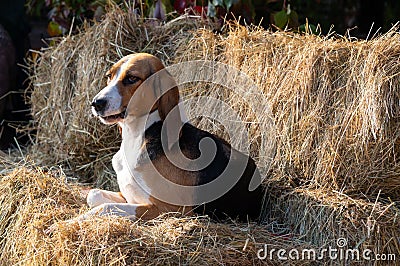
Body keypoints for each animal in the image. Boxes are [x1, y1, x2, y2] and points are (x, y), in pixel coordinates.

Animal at [86, 53, 264, 221]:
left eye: (132, 78)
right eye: (109, 76)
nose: (96, 103)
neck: (137, 137)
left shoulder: (170, 209)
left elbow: (106, 207)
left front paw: (82, 218)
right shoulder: (129, 196)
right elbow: (93, 194)